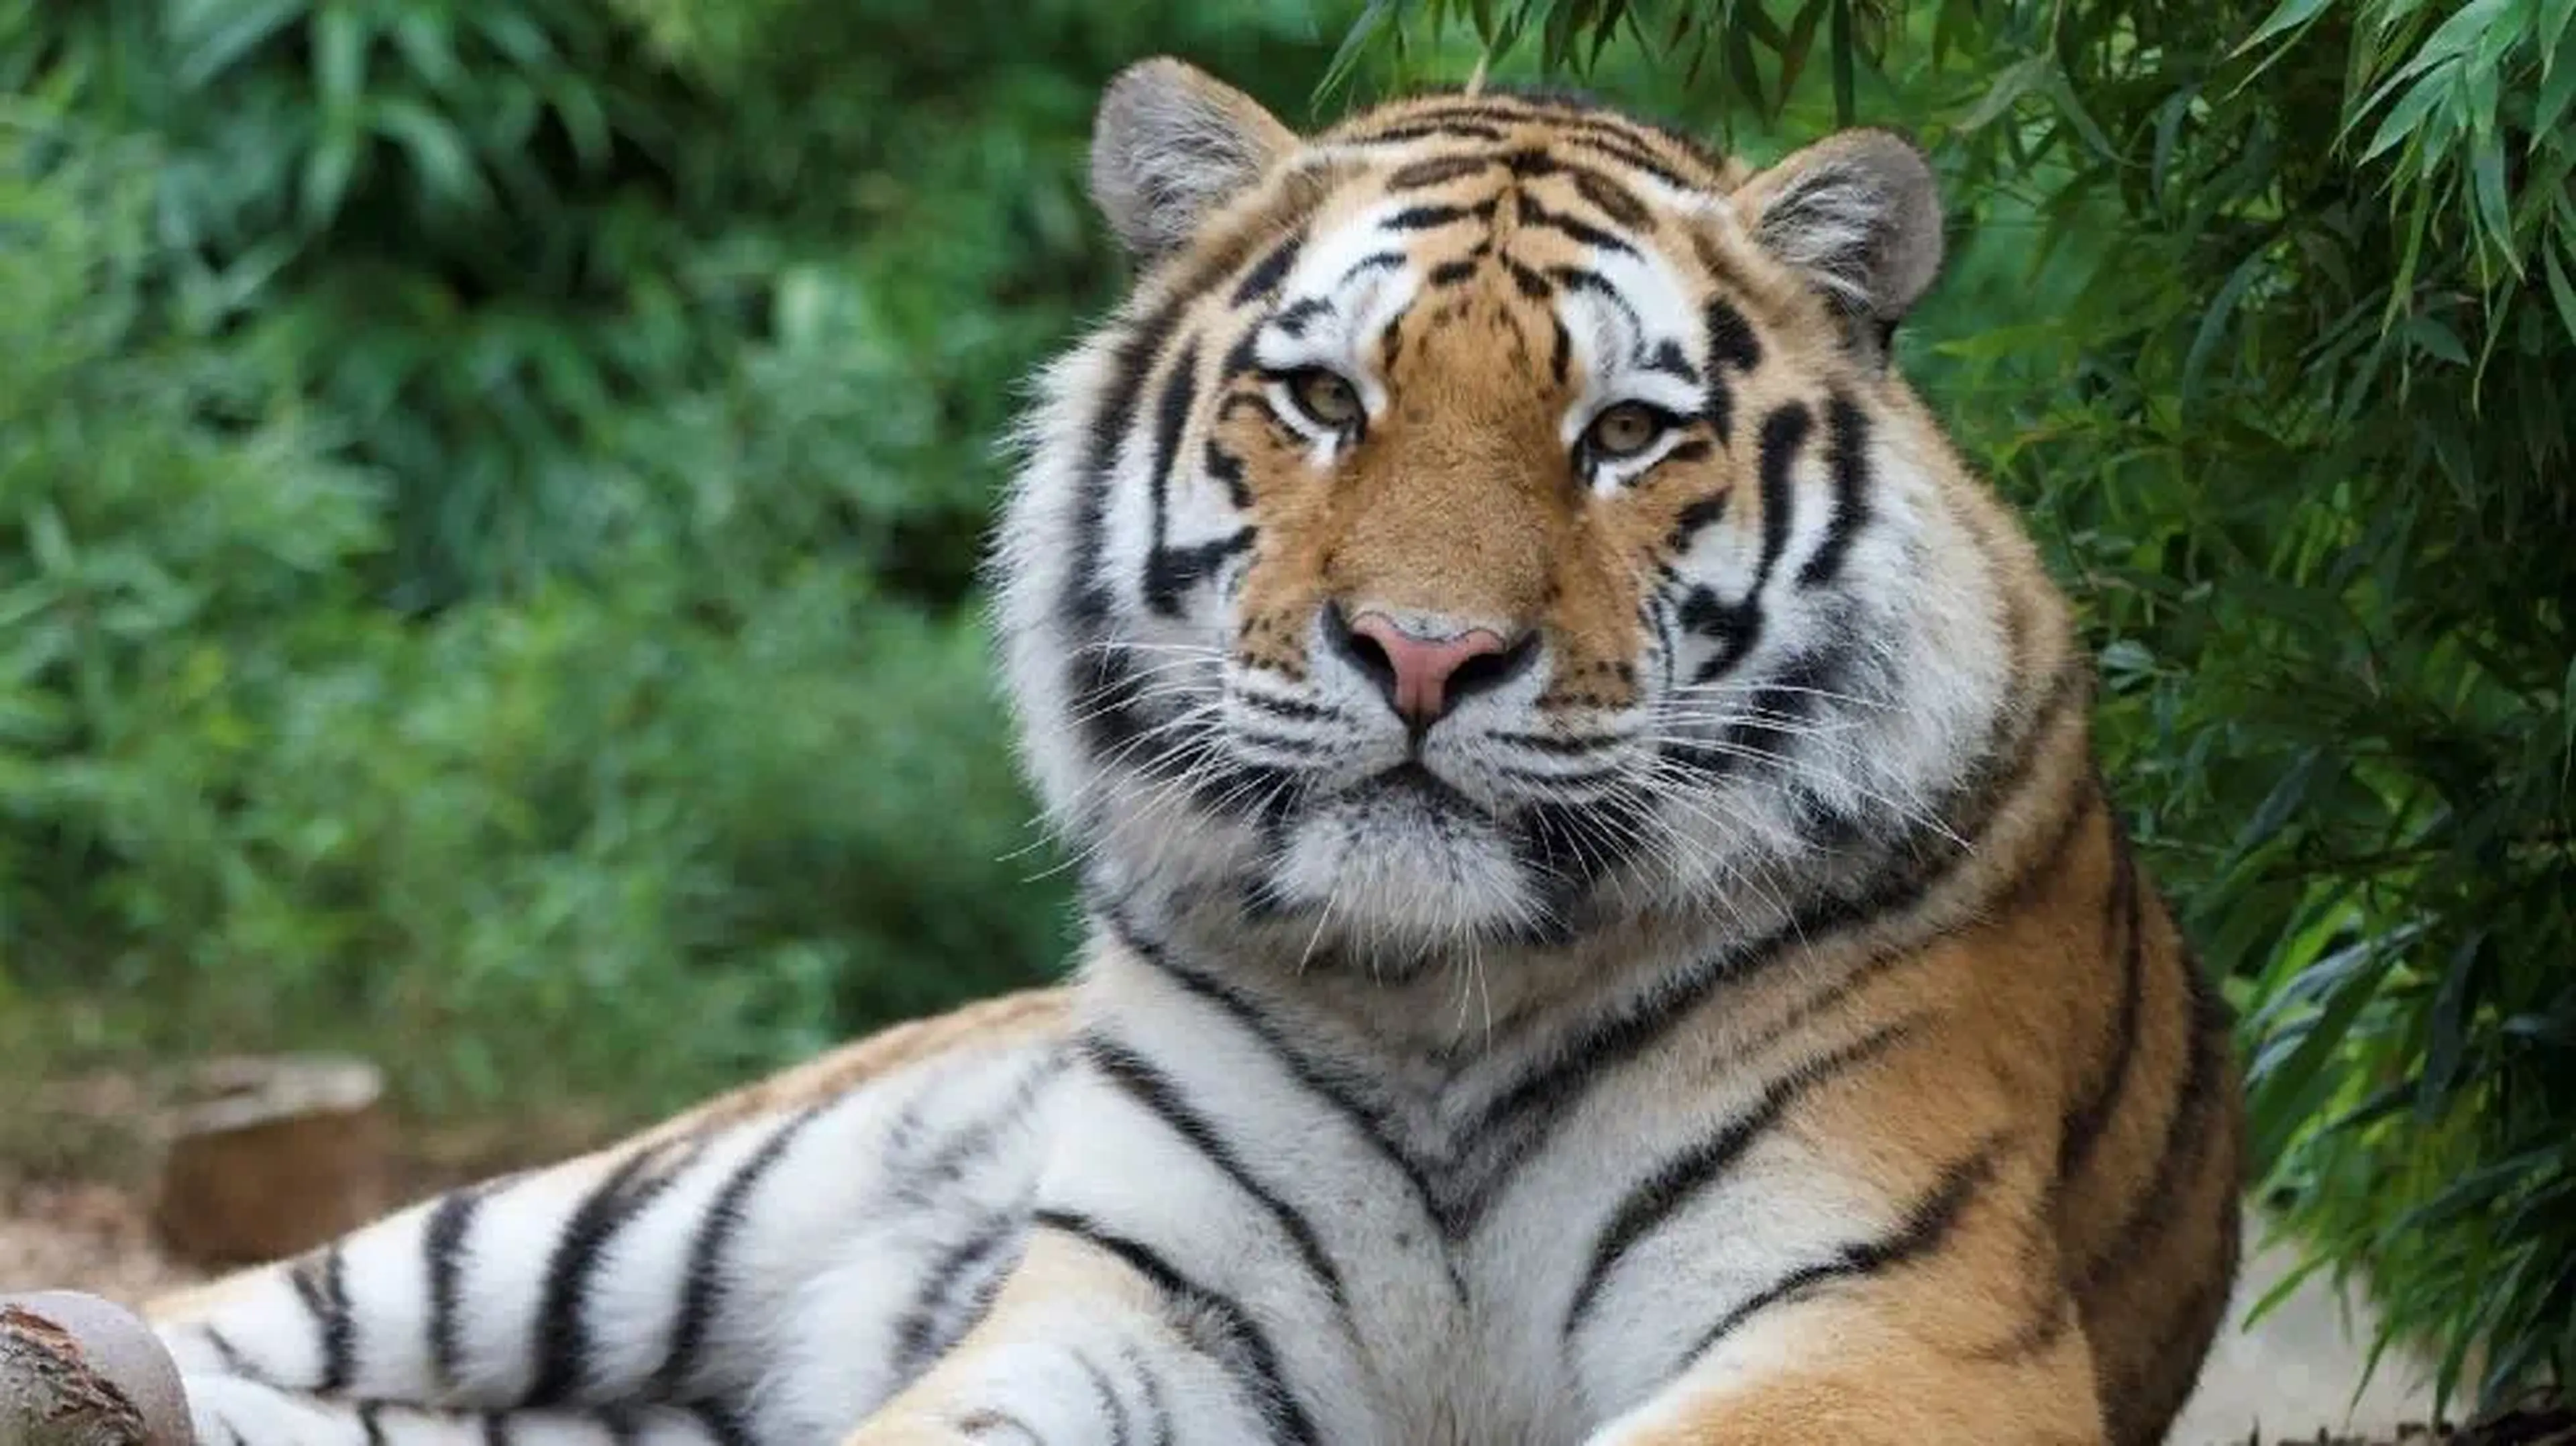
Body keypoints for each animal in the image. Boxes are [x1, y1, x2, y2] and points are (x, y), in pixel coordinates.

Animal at [41, 55, 2246, 1446]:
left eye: (1625, 431)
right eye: (1324, 397)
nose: (1424, 652)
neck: (1444, 996)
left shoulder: (1891, 1320)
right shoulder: (1142, 1298)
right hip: (608, 1214)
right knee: (214, 1313)